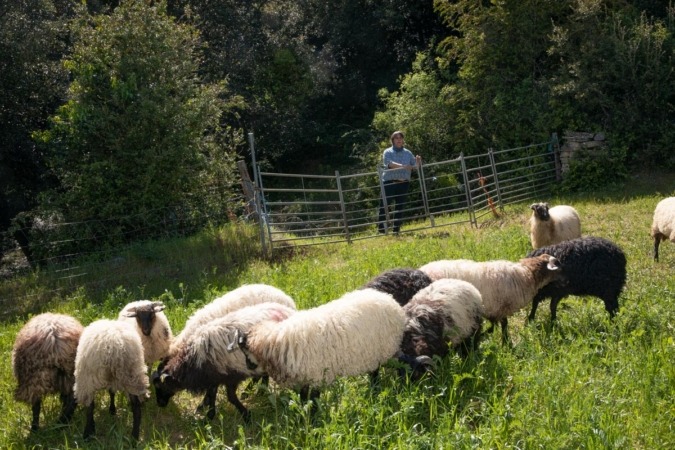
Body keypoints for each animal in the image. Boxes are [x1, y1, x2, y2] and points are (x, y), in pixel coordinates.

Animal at [153, 302, 296, 422]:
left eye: (160, 386)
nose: (160, 404)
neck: (191, 362)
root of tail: (286, 310)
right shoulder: (214, 377)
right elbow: (211, 396)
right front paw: (208, 415)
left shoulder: (230, 375)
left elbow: (230, 397)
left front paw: (246, 415)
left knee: (263, 375)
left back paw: (258, 391)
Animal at [231, 286, 406, 406]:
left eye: (245, 352)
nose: (248, 366)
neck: (277, 341)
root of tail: (388, 299)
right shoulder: (303, 380)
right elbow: (303, 400)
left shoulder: (316, 377)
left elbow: (313, 402)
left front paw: (313, 421)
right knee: (374, 371)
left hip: (384, 349)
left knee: (383, 369)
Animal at [420, 255, 564, 342]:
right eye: (558, 265)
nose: (566, 278)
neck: (527, 274)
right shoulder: (499, 308)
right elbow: (503, 325)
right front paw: (505, 342)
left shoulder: (494, 310)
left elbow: (496, 326)